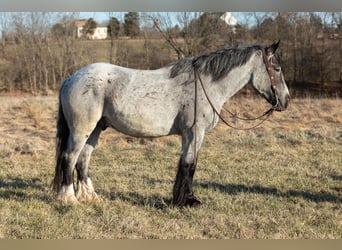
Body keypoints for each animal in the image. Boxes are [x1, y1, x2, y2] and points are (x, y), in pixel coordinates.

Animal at [52, 40, 290, 207]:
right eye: (277, 68)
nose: (286, 100)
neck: (205, 84)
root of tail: (70, 78)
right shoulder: (195, 133)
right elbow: (190, 165)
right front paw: (189, 201)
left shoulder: (188, 135)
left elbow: (184, 165)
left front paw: (180, 199)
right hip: (81, 130)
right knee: (69, 158)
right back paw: (69, 199)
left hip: (95, 130)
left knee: (83, 161)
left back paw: (90, 197)